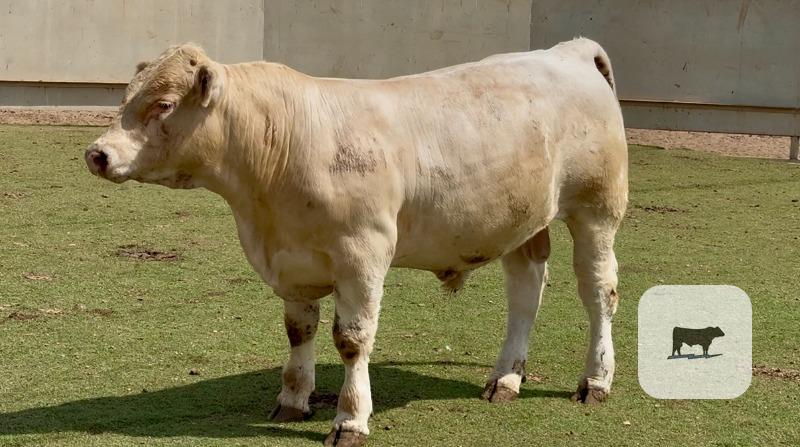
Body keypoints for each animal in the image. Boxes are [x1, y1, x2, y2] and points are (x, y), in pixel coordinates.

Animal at [85, 38, 627, 446]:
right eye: (126, 96)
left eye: (163, 104)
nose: (97, 154)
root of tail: (569, 50)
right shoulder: (291, 262)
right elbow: (298, 332)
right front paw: (293, 400)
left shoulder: (362, 257)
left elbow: (352, 340)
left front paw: (350, 418)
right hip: (522, 221)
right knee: (525, 293)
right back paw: (506, 378)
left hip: (596, 210)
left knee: (599, 292)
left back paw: (595, 380)